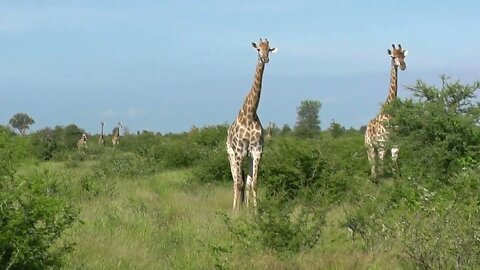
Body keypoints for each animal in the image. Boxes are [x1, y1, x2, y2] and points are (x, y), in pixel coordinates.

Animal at [226, 38, 278, 211]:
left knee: (246, 182)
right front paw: (237, 212)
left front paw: (254, 211)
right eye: (258, 49)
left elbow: (253, 183)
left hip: (247, 157)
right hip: (231, 155)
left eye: (269, 49)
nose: (265, 59)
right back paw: (235, 208)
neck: (250, 114)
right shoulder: (239, 152)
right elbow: (240, 184)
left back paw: (246, 207)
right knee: (235, 182)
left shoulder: (256, 152)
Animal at [366, 43, 406, 179]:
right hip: (370, 147)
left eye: (403, 56)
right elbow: (382, 170)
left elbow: (394, 170)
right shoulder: (382, 146)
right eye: (393, 57)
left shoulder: (395, 146)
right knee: (374, 168)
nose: (403, 66)